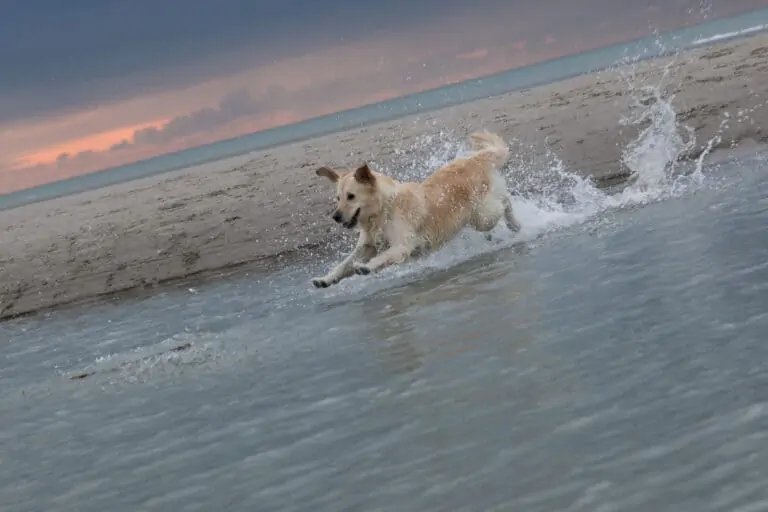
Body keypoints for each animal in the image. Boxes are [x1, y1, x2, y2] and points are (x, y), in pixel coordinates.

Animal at [308, 130, 520, 288]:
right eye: (338, 198)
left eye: (351, 196)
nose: (335, 217)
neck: (383, 210)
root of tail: (473, 160)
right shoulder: (367, 245)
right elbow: (344, 264)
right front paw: (325, 279)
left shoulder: (402, 245)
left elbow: (383, 256)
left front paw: (367, 267)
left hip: (482, 215)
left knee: (505, 202)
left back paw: (515, 224)